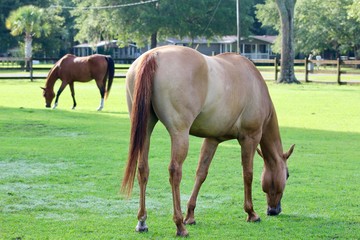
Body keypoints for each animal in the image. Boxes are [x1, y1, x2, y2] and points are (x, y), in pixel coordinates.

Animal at [121, 45, 296, 236]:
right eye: (287, 174)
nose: (274, 210)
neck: (255, 84)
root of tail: (154, 55)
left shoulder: (212, 139)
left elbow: (201, 173)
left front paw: (190, 215)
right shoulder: (250, 138)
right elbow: (248, 174)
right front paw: (251, 213)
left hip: (145, 129)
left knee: (143, 169)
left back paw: (142, 221)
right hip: (179, 134)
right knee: (175, 172)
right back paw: (179, 225)